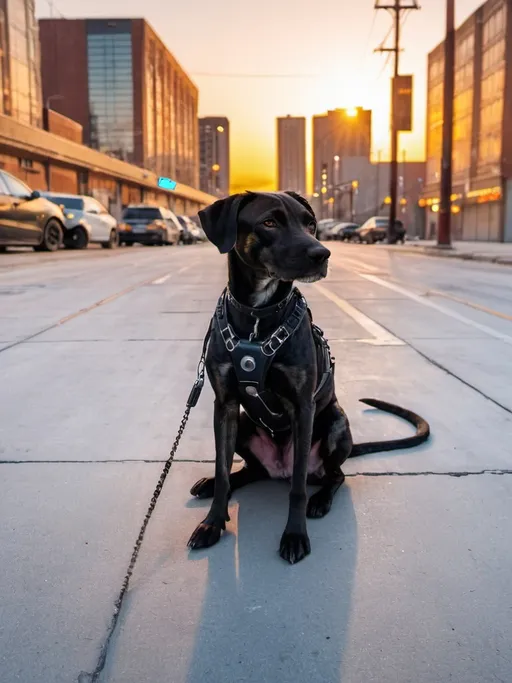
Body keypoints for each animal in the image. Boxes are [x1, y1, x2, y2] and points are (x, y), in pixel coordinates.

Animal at [187, 190, 428, 564]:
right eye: (269, 222)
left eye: (310, 223)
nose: (322, 253)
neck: (257, 315)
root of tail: (278, 469)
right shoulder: (224, 406)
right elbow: (223, 469)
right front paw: (212, 523)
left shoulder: (303, 408)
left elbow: (298, 486)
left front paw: (295, 535)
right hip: (244, 423)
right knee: (250, 470)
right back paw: (211, 486)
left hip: (335, 422)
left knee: (334, 475)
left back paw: (321, 500)